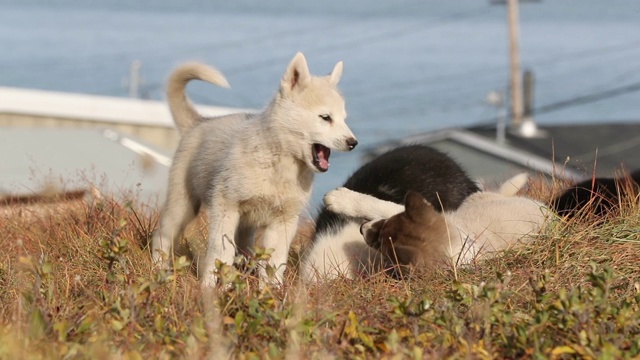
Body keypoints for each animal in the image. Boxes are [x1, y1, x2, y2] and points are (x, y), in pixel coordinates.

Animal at [152, 52, 358, 286]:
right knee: (162, 236)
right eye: (325, 117)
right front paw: (210, 288)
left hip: (245, 226)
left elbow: (275, 262)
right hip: (182, 206)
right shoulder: (225, 207)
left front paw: (272, 290)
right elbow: (220, 253)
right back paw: (159, 271)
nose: (353, 143)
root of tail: (198, 123)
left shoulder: (284, 220)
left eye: (344, 119)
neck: (278, 165)